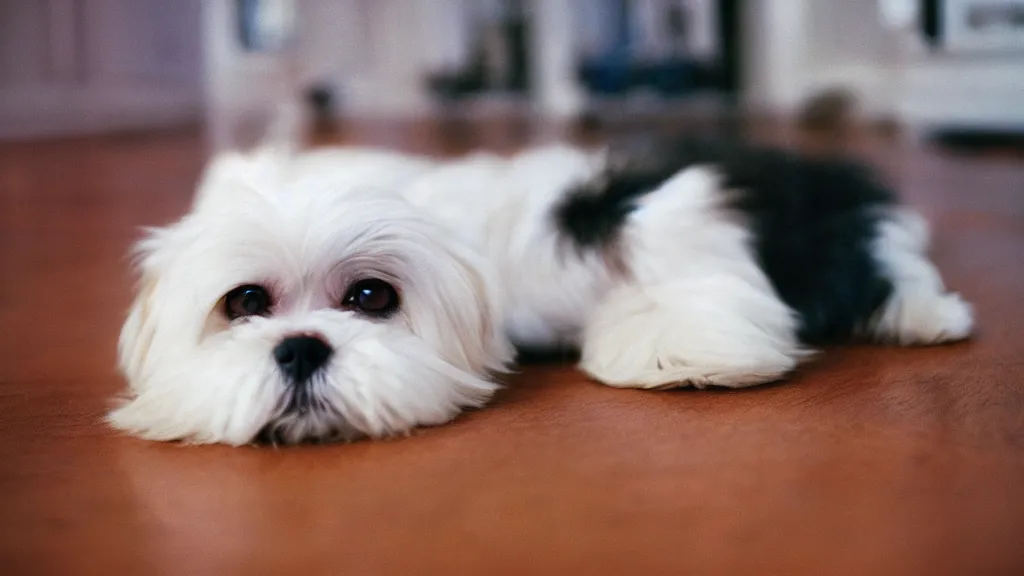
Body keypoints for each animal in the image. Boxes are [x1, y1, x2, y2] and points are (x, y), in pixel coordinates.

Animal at [108, 134, 970, 444]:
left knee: (880, 249)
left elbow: (670, 238)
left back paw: (929, 312)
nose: (298, 349)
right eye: (246, 303)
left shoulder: (632, 202)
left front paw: (688, 342)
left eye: (370, 298)